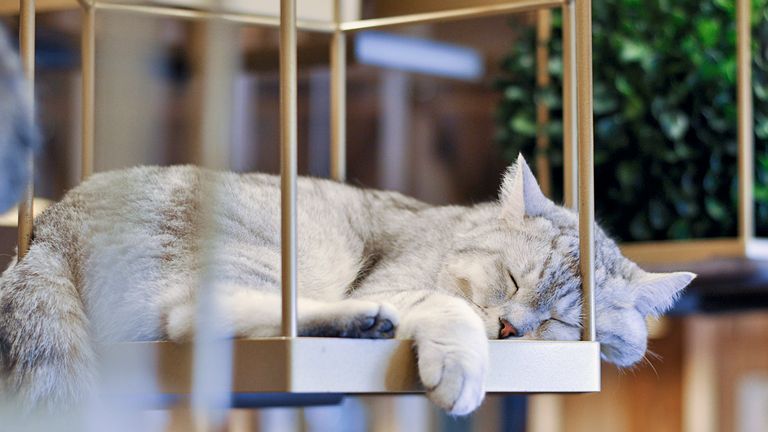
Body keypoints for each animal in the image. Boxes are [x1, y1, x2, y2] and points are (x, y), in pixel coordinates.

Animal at [0, 155, 696, 416]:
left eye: (563, 324)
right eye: (512, 278)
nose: (507, 327)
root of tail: (48, 226)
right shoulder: (406, 285)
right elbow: (450, 312)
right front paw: (463, 363)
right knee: (191, 315)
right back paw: (362, 322)